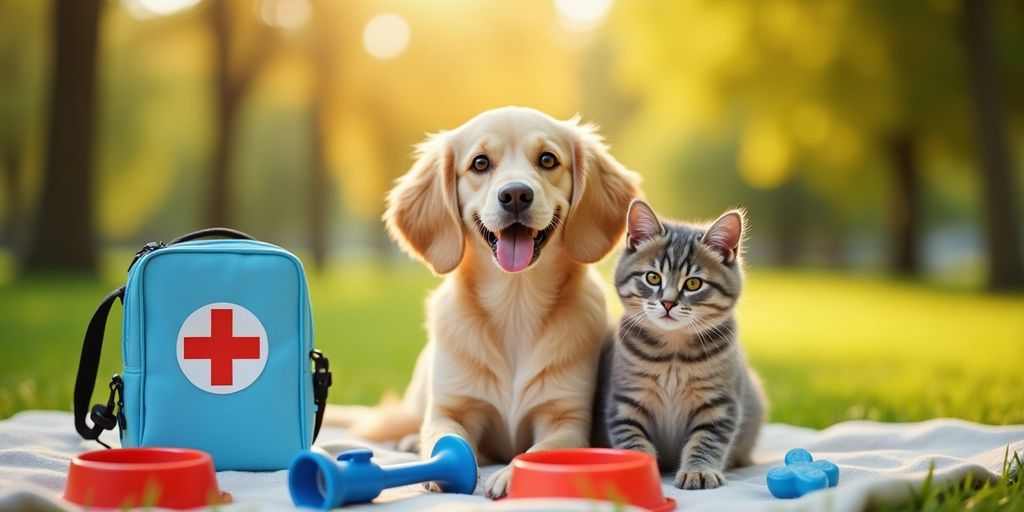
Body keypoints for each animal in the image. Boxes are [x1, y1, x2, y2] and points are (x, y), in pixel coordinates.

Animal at [329, 107, 638, 495]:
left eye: (548, 160)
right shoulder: (451, 408)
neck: (515, 303)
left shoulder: (566, 417)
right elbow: (441, 436)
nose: (516, 194)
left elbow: (543, 449)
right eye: (480, 163)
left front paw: (510, 473)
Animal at [598, 197, 765, 489]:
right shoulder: (625, 401)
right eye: (653, 277)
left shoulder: (719, 404)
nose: (667, 302)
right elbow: (633, 440)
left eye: (693, 283)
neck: (673, 353)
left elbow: (706, 441)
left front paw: (699, 471)